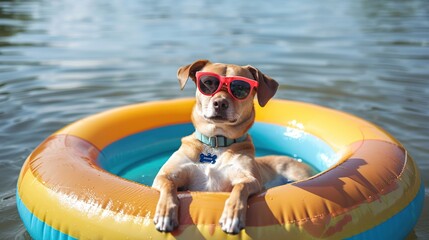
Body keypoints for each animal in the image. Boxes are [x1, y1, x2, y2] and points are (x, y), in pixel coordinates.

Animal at [152, 59, 312, 234]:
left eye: (240, 88)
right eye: (208, 83)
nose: (220, 103)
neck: (216, 142)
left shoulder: (249, 178)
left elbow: (240, 187)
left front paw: (232, 215)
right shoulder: (166, 175)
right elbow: (168, 184)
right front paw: (165, 213)